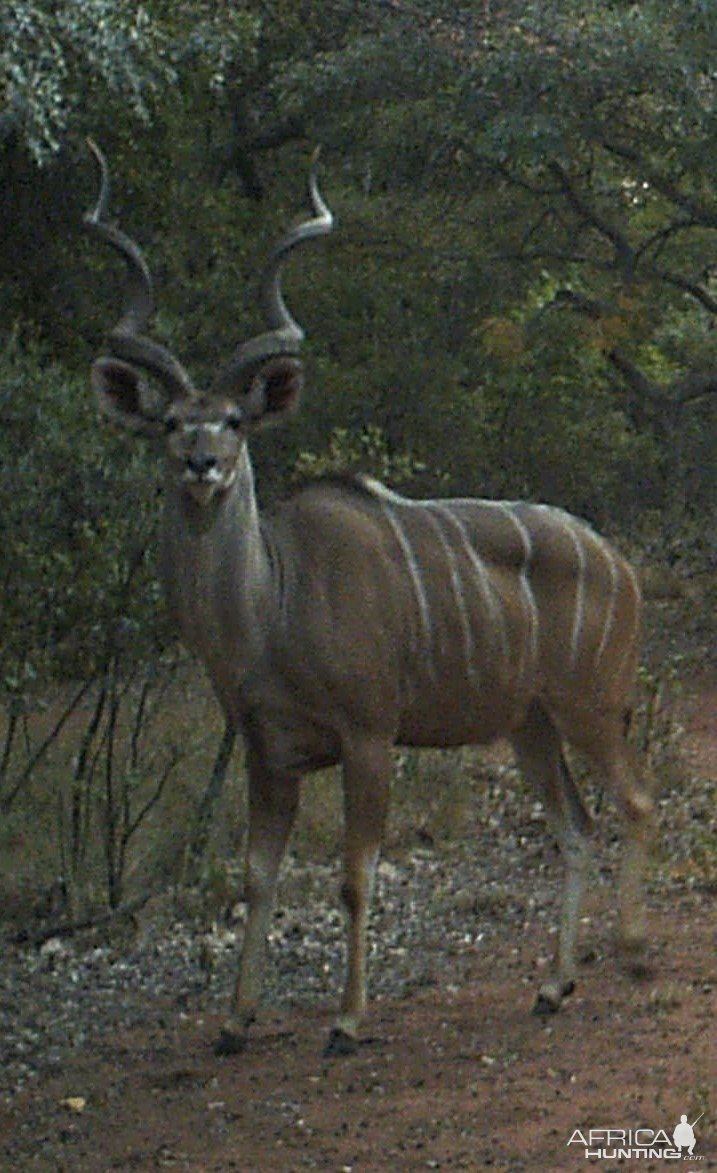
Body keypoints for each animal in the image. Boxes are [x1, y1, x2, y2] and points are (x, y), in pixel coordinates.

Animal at [85, 144, 657, 1055]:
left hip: (588, 705)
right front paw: (235, 1019)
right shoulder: (267, 751)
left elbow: (354, 876)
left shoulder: (367, 736)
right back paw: (552, 985)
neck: (271, 604)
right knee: (573, 826)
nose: (202, 465)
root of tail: (622, 565)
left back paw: (631, 954)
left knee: (632, 802)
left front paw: (347, 1019)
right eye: (172, 421)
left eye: (235, 421)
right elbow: (258, 875)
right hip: (528, 723)